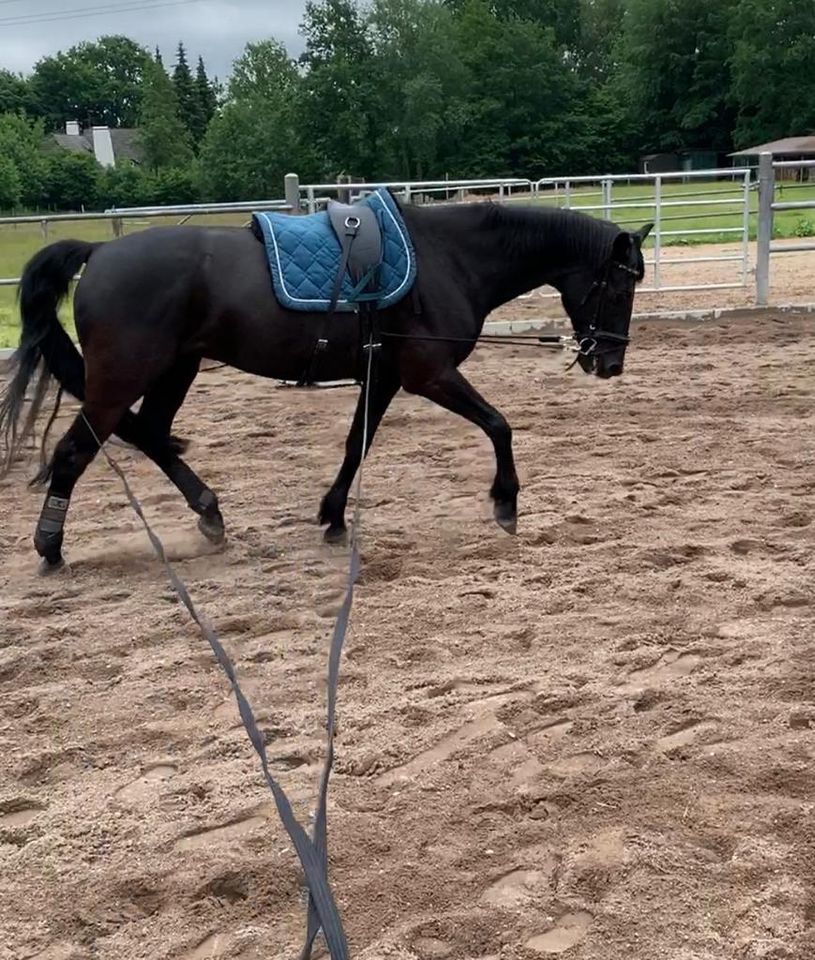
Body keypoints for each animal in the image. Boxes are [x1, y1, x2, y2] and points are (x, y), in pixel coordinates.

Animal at [0, 197, 652, 568]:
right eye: (622, 284)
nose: (610, 363)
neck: (449, 257)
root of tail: (99, 253)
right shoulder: (430, 375)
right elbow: (499, 425)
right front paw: (506, 502)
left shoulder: (384, 375)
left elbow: (355, 445)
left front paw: (334, 518)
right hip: (121, 380)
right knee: (76, 452)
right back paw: (51, 548)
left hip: (174, 370)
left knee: (153, 436)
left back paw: (209, 515)